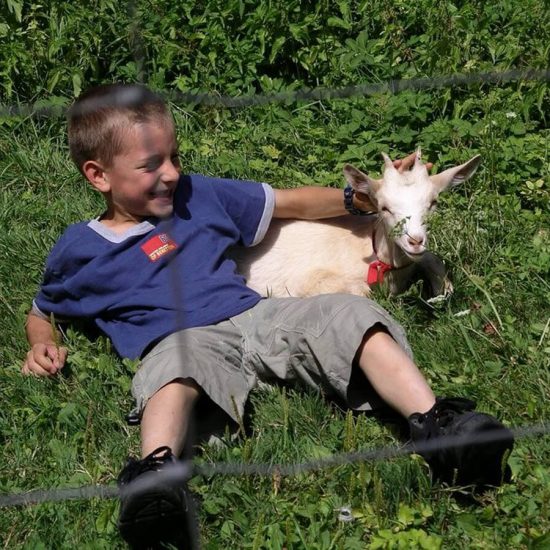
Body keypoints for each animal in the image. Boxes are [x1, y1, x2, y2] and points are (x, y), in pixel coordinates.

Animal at [231, 152, 480, 302]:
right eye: (383, 207)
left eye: (433, 203)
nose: (415, 241)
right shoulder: (303, 282)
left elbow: (432, 259)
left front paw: (441, 291)